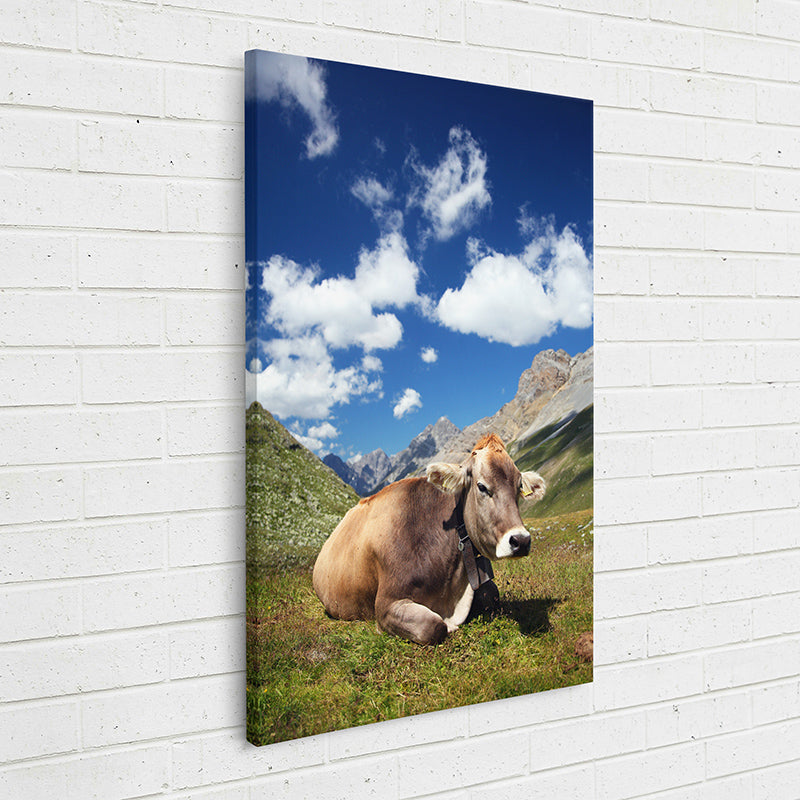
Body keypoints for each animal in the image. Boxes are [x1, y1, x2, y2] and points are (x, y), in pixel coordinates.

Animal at [312, 433, 546, 645]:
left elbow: (491, 594)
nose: (521, 541)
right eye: (482, 487)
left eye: (518, 487)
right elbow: (433, 626)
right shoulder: (387, 604)